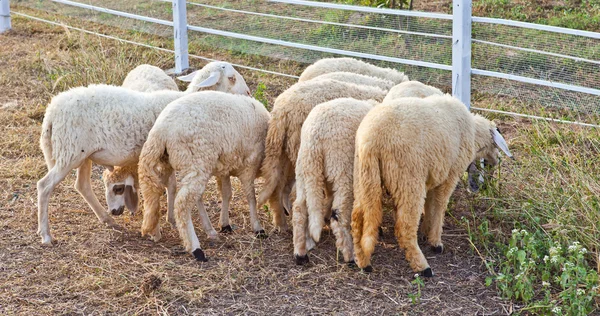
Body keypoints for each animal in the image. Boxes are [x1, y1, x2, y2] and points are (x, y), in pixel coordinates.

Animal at [35, 61, 251, 244]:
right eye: (232, 78)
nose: (248, 93)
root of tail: (51, 112)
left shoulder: (166, 158)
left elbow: (171, 186)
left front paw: (169, 218)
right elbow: (163, 187)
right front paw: (160, 227)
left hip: (81, 154)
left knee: (82, 185)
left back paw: (107, 219)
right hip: (69, 152)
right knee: (44, 186)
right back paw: (46, 235)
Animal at [138, 90, 270, 260]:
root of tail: (160, 130)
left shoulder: (225, 167)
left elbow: (227, 193)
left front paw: (225, 224)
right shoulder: (250, 164)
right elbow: (251, 196)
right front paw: (258, 227)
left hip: (170, 162)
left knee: (154, 192)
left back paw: (155, 231)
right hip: (197, 160)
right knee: (182, 203)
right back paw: (196, 248)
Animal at [352, 94, 510, 276]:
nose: (498, 160)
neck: (473, 133)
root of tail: (371, 140)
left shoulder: (431, 176)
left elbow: (428, 206)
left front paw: (425, 230)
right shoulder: (449, 175)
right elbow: (439, 206)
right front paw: (435, 241)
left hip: (365, 177)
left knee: (357, 219)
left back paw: (363, 262)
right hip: (408, 179)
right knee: (404, 226)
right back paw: (422, 266)